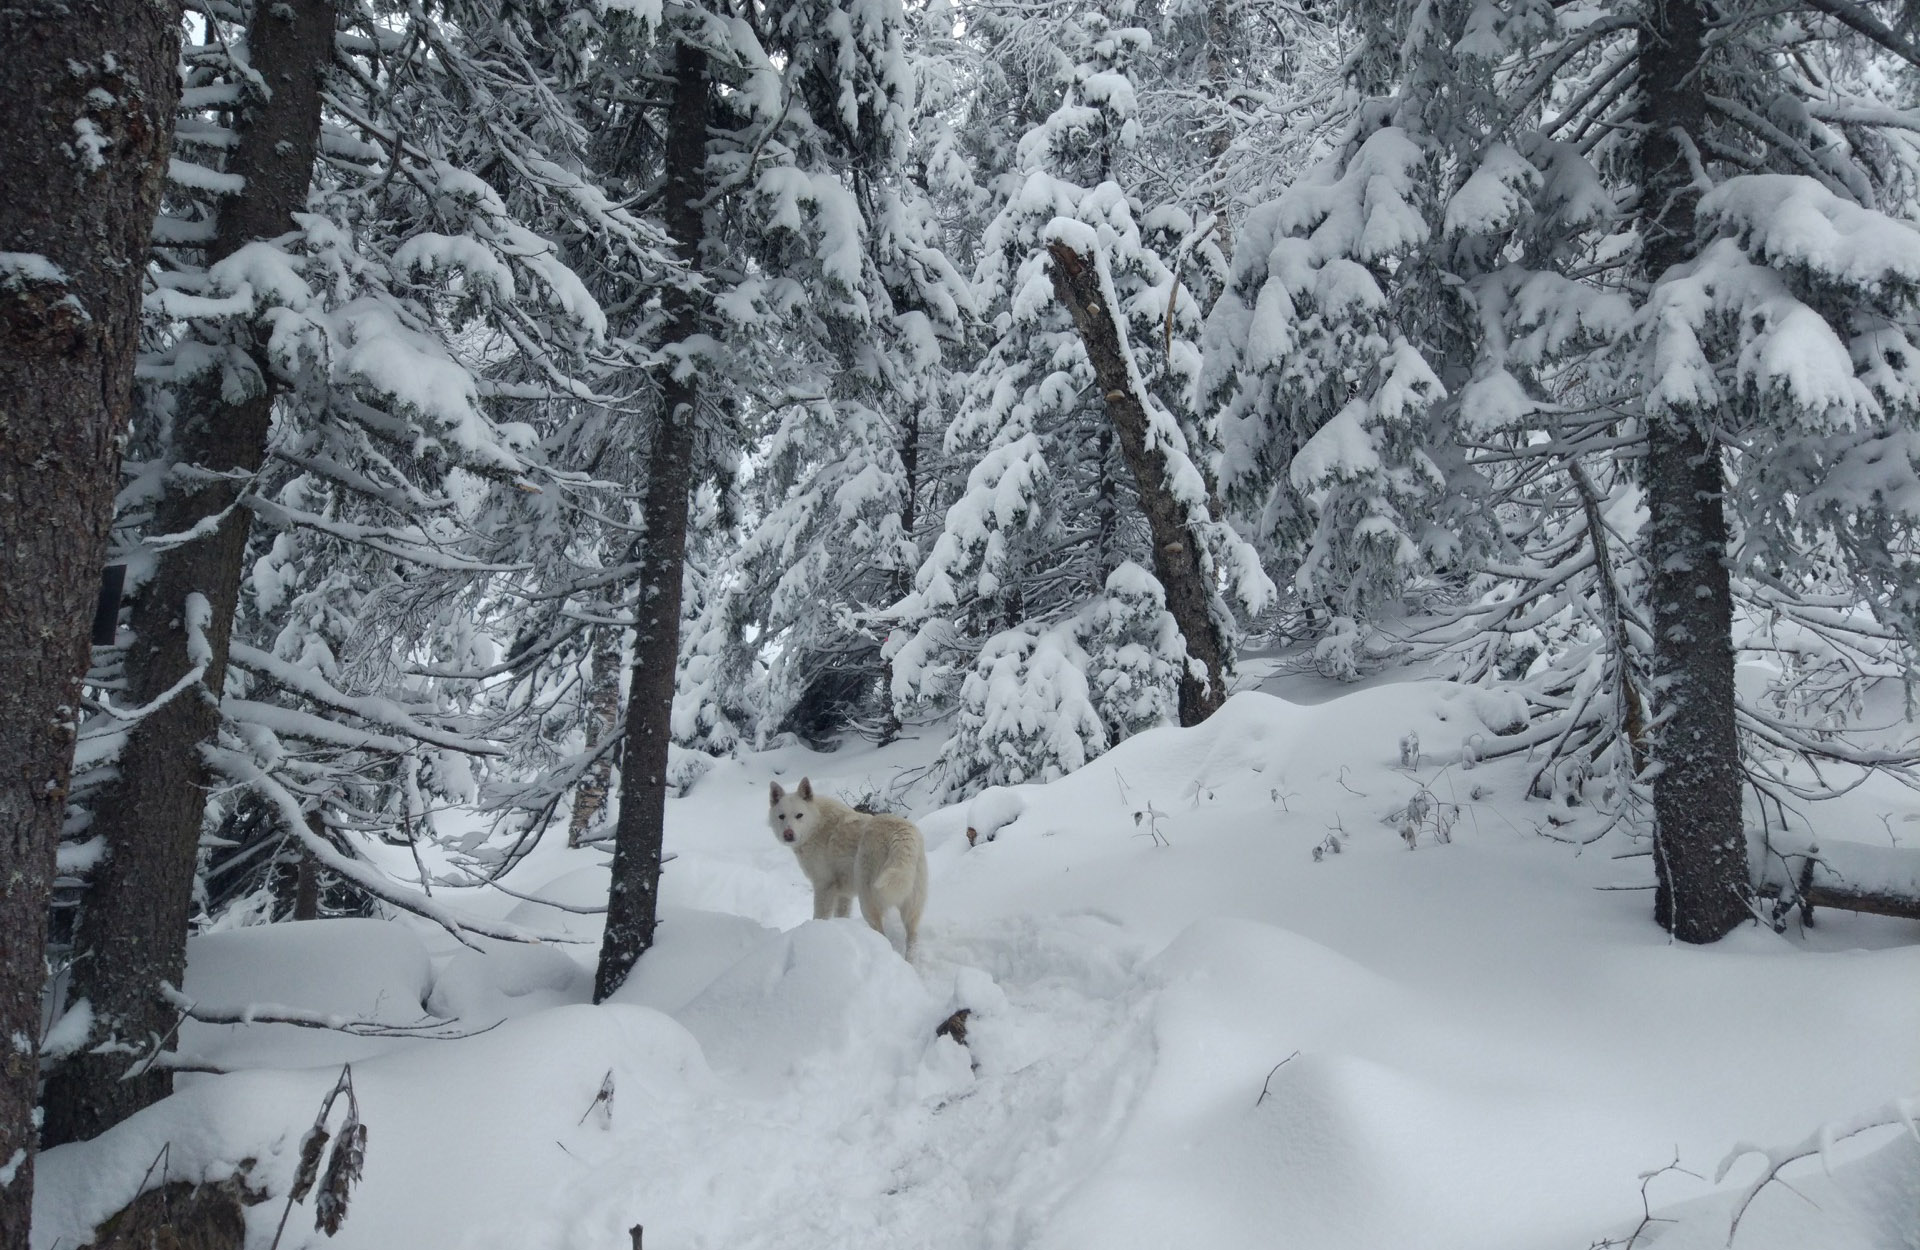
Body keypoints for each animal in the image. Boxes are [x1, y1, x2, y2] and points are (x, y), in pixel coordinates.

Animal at [771, 771, 936, 960]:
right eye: (781, 816)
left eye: (799, 815)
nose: (788, 834)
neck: (816, 824)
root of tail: (901, 832)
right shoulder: (844, 894)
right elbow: (842, 914)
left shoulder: (823, 886)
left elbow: (820, 915)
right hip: (911, 907)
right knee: (912, 938)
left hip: (867, 900)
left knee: (882, 933)